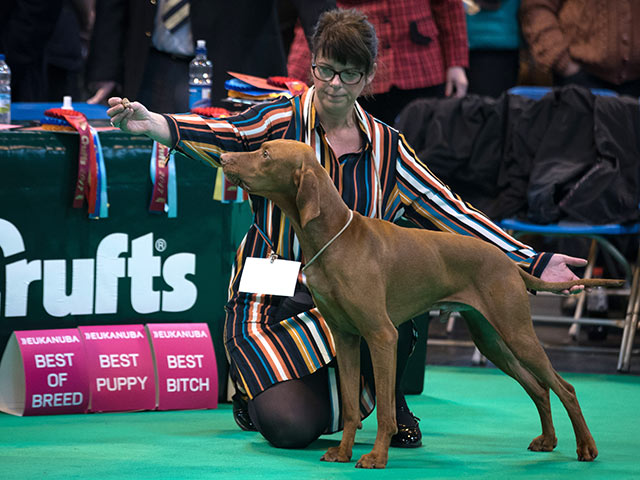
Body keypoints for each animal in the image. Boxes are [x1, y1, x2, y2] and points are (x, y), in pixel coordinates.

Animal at [221, 139, 624, 468]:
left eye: (266, 154)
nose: (224, 157)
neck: (335, 238)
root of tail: (509, 264)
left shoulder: (381, 335)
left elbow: (384, 411)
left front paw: (376, 457)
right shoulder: (346, 337)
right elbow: (350, 406)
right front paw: (343, 452)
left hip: (517, 333)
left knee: (565, 387)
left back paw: (586, 448)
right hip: (493, 341)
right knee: (539, 388)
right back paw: (548, 440)